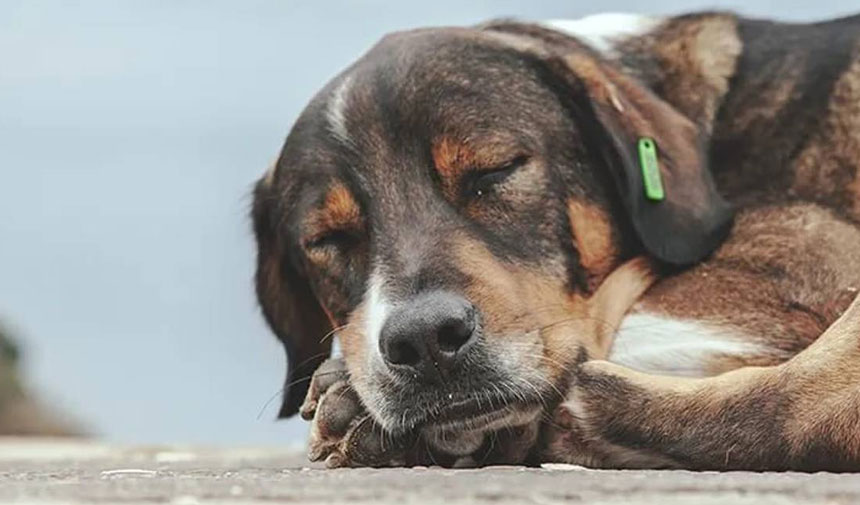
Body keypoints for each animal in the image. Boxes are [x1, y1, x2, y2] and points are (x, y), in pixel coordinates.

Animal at [252, 10, 860, 468]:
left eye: (496, 171)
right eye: (328, 239)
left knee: (784, 411)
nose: (424, 340)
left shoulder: (820, 263)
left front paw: (352, 397)